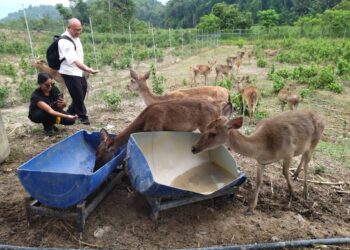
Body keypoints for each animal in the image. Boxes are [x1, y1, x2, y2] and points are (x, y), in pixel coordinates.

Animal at [93, 98, 221, 171]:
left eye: (100, 156)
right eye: (95, 153)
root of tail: (217, 110)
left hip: (206, 125)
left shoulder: (156, 128)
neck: (144, 123)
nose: (94, 169)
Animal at [191, 110, 326, 214]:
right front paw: (250, 208)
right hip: (305, 147)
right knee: (303, 158)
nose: (193, 148)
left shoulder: (289, 152)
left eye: (213, 133)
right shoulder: (261, 161)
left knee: (307, 163)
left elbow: (284, 172)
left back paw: (305, 192)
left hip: (315, 142)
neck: (265, 147)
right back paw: (296, 174)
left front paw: (292, 193)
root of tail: (320, 116)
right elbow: (258, 181)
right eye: (206, 127)